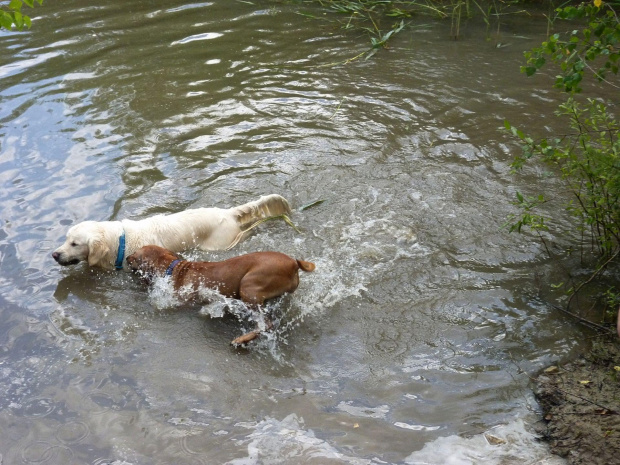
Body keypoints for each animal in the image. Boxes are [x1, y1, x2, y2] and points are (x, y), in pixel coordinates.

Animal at [129, 243, 318, 344]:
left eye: (135, 255)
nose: (126, 257)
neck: (173, 268)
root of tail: (293, 262)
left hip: (248, 287)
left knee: (266, 325)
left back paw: (241, 340)